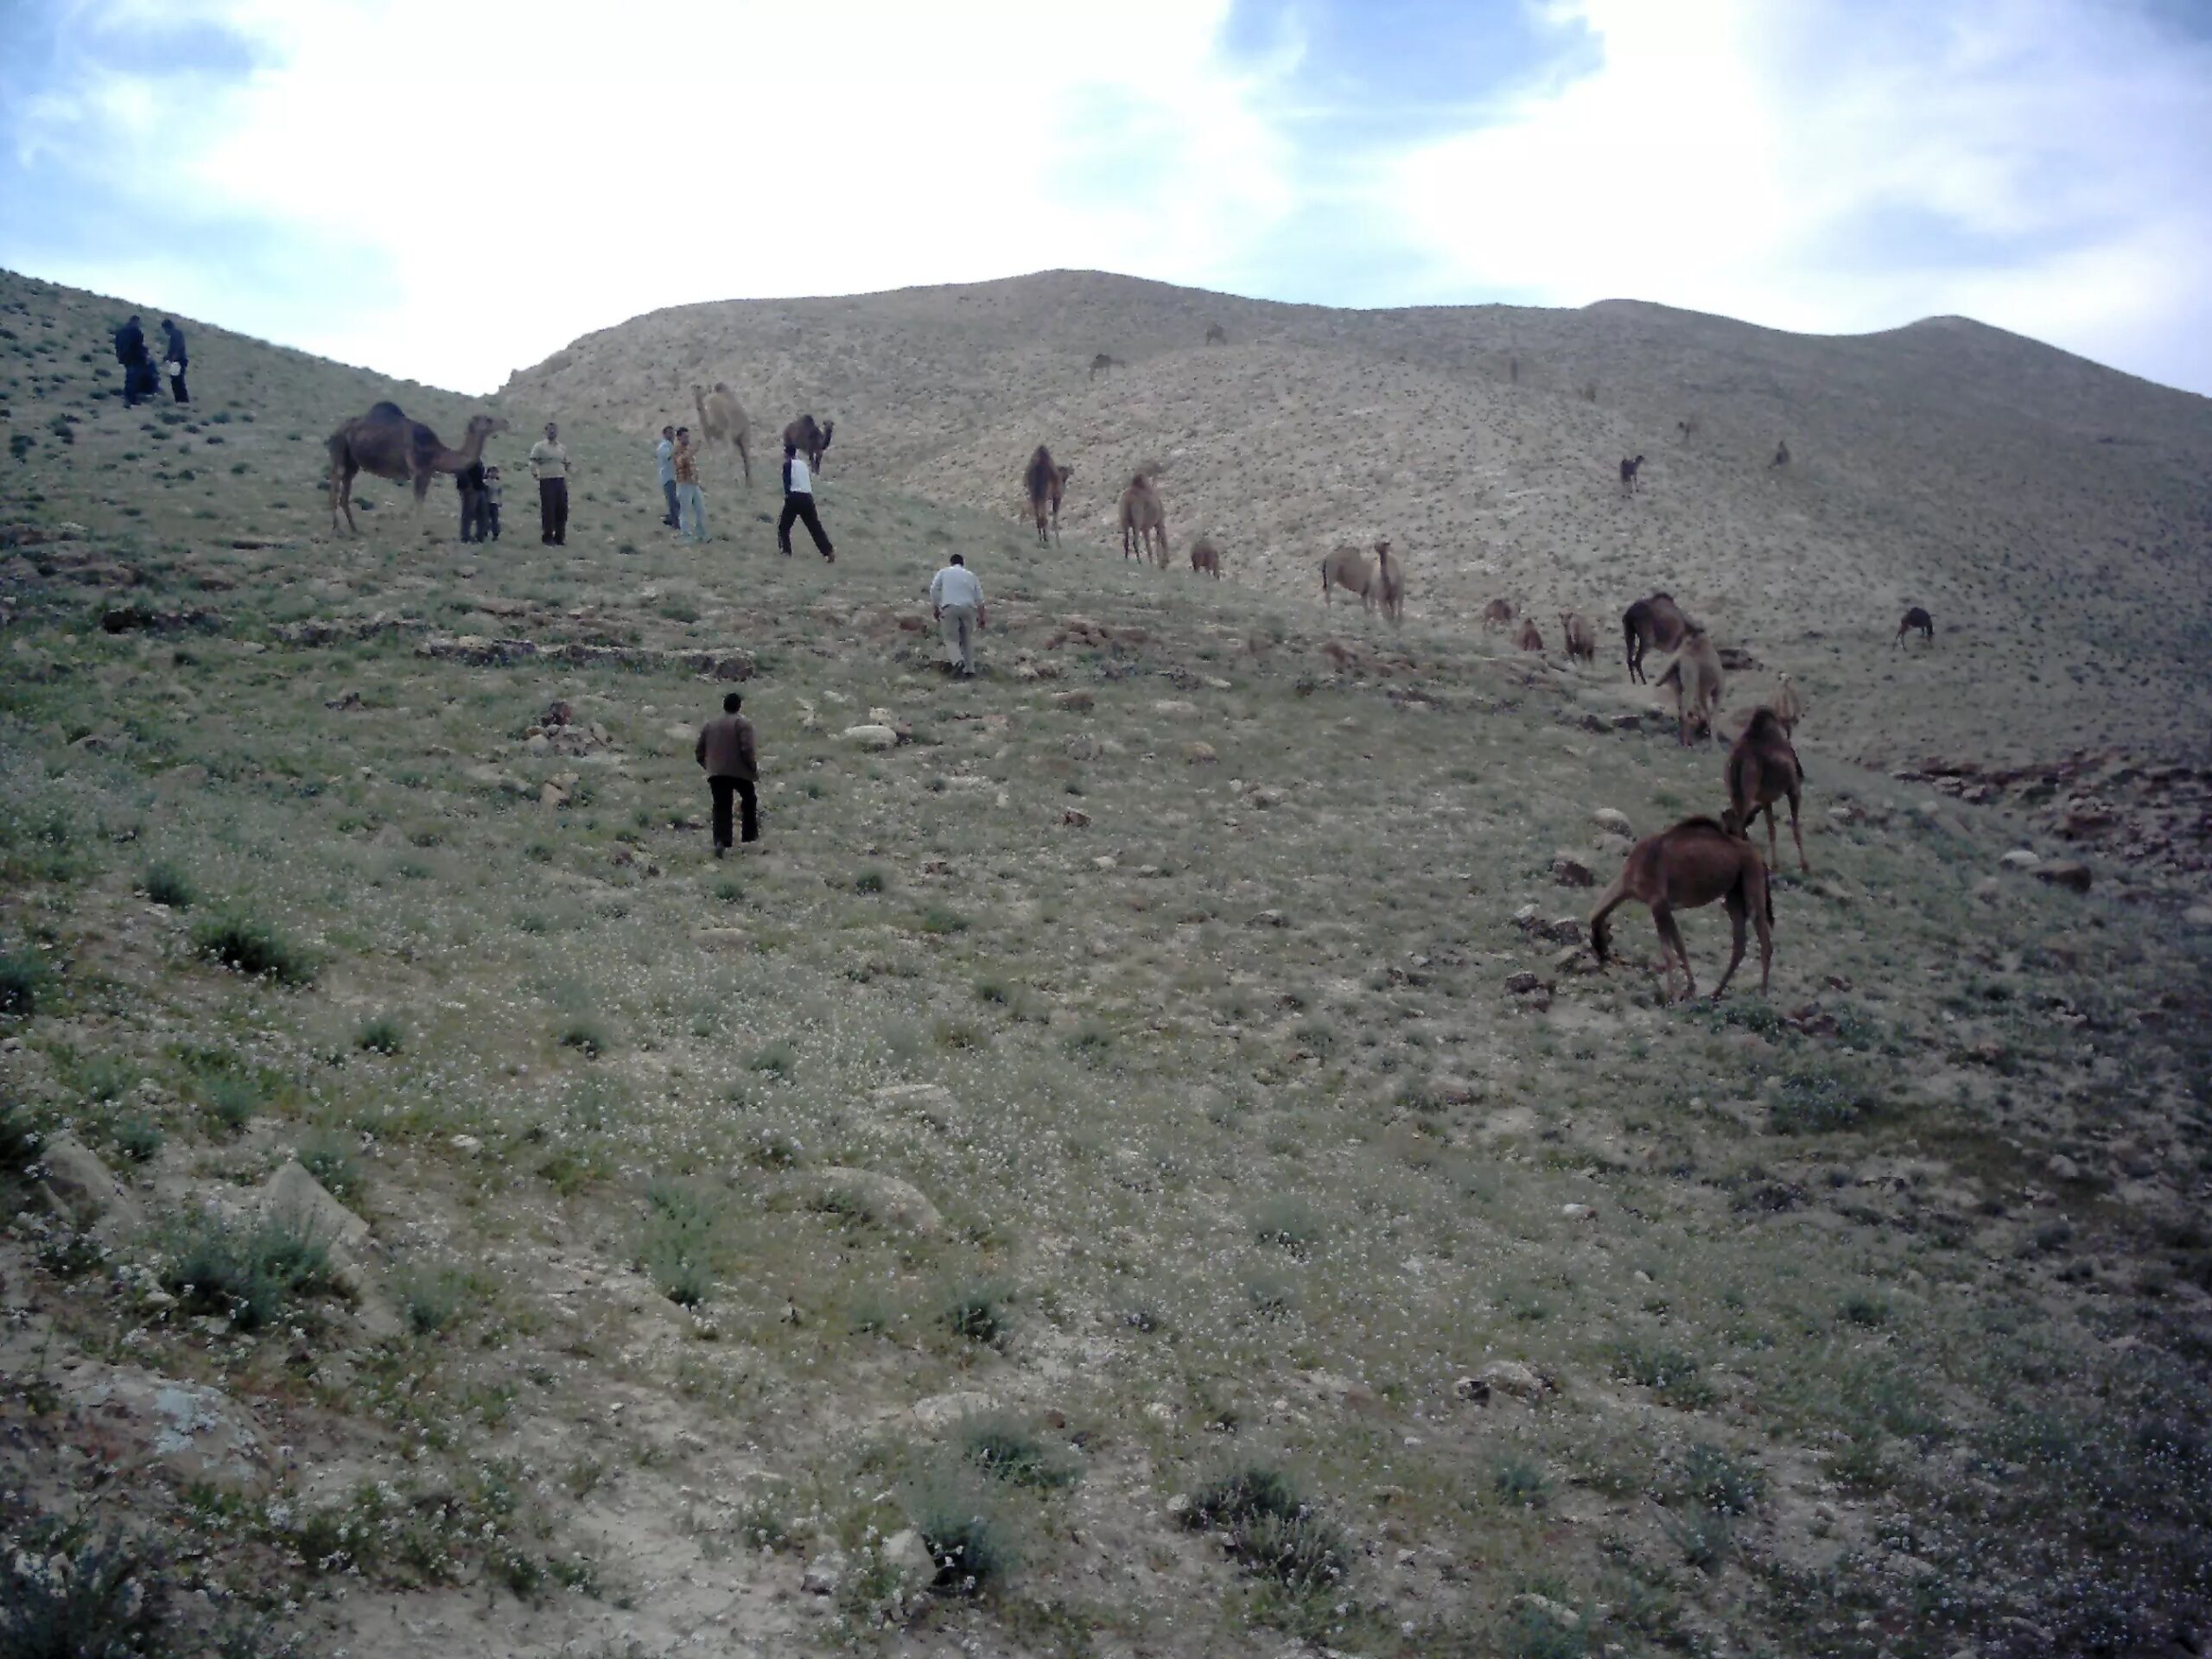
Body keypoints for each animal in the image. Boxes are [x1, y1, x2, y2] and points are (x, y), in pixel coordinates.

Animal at [322, 402, 506, 532]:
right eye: (489, 419)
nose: (505, 422)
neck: (436, 453)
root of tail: (336, 431)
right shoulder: (417, 470)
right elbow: (418, 503)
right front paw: (417, 535)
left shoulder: (427, 473)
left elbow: (420, 501)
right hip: (339, 448)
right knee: (335, 480)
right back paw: (337, 529)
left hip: (352, 462)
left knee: (345, 487)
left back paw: (354, 529)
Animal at [1592, 814, 1778, 1008]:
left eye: (1604, 938)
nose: (1602, 958)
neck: (1630, 877)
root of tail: (1760, 857)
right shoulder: (1665, 906)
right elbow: (1680, 946)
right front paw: (1689, 991)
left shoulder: (1657, 902)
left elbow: (1668, 953)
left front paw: (1672, 997)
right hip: (1734, 894)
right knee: (1739, 945)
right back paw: (1715, 994)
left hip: (1752, 883)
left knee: (1765, 942)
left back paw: (1762, 996)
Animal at [1663, 628, 1725, 747]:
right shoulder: (1714, 692)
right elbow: (1712, 717)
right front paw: (1715, 744)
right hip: (1692, 687)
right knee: (1685, 711)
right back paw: (1687, 742)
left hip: (1681, 687)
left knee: (1682, 709)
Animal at [1725, 708, 1814, 875]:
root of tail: (1738, 759)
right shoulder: (1793, 789)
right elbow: (1796, 829)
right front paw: (1805, 866)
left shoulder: (1765, 800)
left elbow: (1771, 830)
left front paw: (1775, 865)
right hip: (1748, 790)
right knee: (1739, 823)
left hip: (1733, 789)